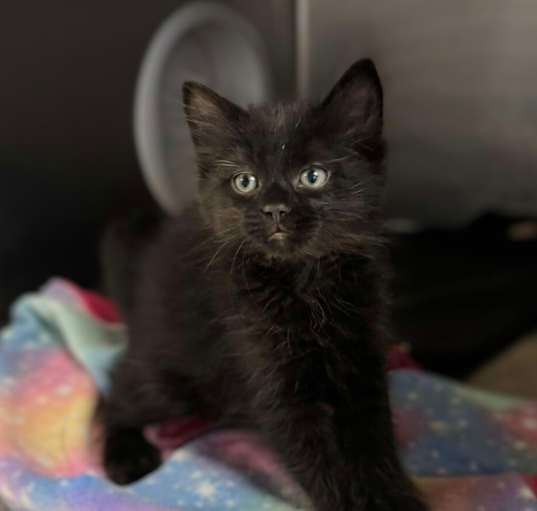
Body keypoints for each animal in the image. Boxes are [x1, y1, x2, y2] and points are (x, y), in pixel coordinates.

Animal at [98, 61, 428, 511]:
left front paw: (393, 498)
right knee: (113, 392)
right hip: (171, 378)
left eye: (312, 176)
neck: (305, 282)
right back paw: (126, 454)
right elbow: (317, 457)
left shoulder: (362, 357)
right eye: (245, 182)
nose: (274, 209)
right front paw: (347, 502)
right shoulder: (269, 376)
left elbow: (373, 444)